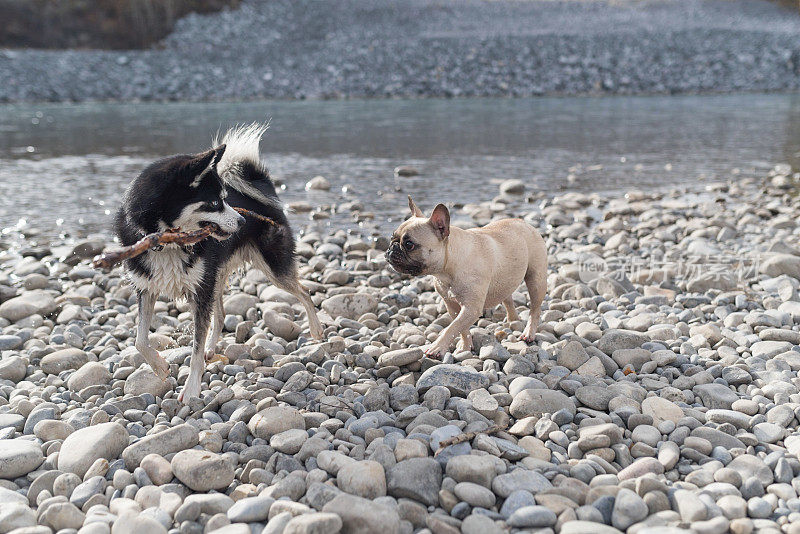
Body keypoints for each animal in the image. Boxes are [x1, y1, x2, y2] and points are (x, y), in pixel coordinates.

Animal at [115, 125, 322, 402]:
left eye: (225, 198)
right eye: (215, 202)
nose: (243, 222)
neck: (168, 243)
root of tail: (265, 191)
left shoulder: (200, 291)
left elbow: (194, 347)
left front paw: (191, 388)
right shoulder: (146, 288)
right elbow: (139, 339)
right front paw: (159, 366)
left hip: (272, 269)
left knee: (305, 292)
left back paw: (316, 330)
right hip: (216, 275)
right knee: (222, 315)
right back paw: (211, 349)